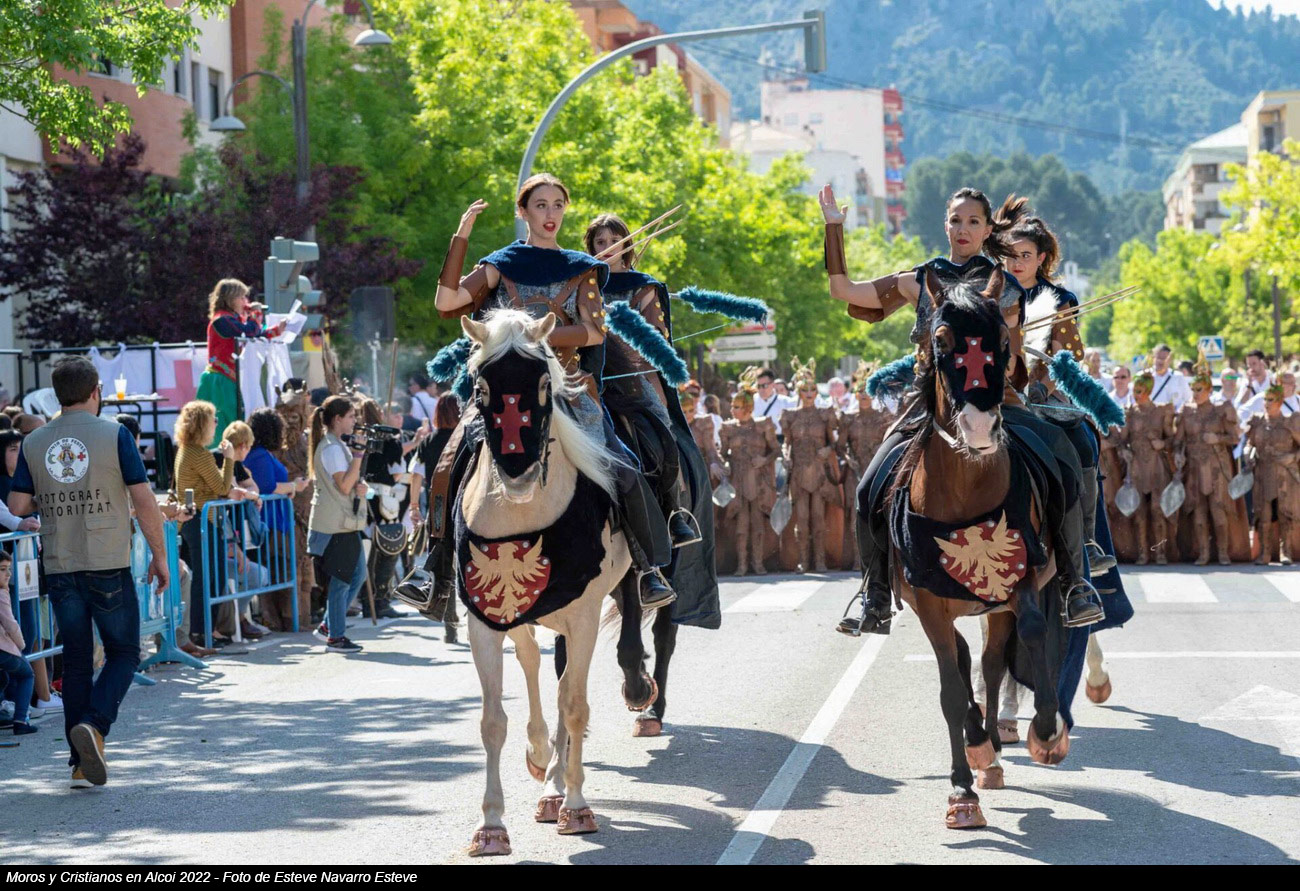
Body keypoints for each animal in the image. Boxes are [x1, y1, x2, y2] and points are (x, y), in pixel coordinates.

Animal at [455, 309, 633, 857]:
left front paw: (576, 807)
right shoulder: (484, 619)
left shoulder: (583, 615)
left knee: (563, 686)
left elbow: (573, 706)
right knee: (535, 663)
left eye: (541, 383)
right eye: (480, 387)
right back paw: (543, 765)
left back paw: (559, 787)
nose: (516, 475)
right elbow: (493, 720)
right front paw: (491, 824)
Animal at [884, 268, 1072, 829]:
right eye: (941, 341)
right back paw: (978, 749)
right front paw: (961, 792)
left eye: (1003, 341)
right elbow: (949, 688)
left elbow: (1031, 632)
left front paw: (1046, 733)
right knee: (967, 662)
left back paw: (992, 750)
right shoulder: (928, 604)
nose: (981, 427)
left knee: (990, 662)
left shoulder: (1022, 576)